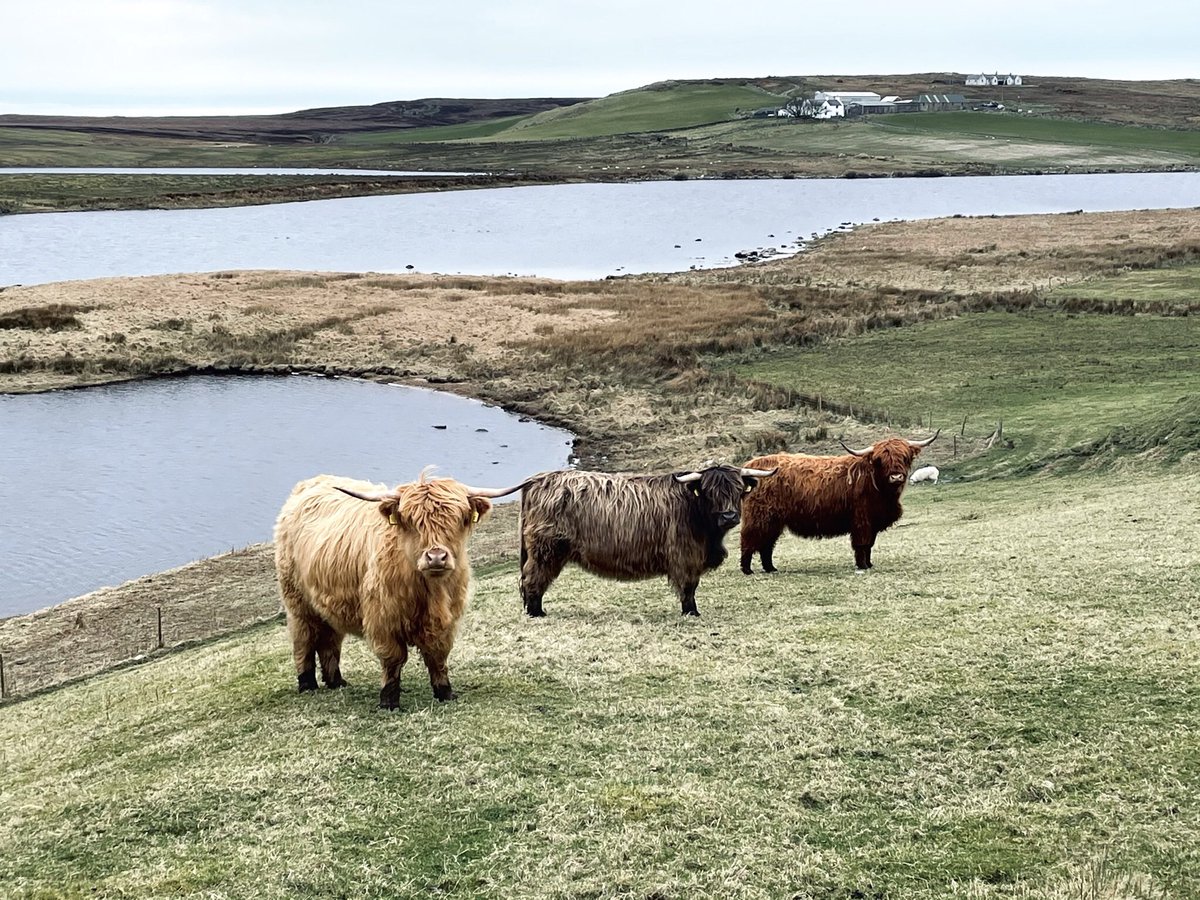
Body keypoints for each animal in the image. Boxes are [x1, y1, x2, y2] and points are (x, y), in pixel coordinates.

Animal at [273, 469, 522, 709]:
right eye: (412, 521)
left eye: (458, 519)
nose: (436, 557)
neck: (431, 592)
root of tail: (308, 485)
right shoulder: (383, 618)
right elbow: (392, 658)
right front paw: (389, 700)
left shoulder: (447, 620)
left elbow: (438, 655)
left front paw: (445, 692)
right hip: (297, 602)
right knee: (303, 639)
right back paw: (307, 684)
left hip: (327, 602)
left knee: (330, 640)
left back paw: (336, 682)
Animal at [517, 464, 776, 618]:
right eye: (710, 492)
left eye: (739, 490)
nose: (729, 516)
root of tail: (538, 480)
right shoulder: (685, 556)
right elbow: (689, 587)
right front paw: (691, 612)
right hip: (546, 549)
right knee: (533, 578)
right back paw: (536, 612)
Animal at [739, 432, 938, 574]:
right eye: (880, 460)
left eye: (905, 456)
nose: (896, 476)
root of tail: (750, 466)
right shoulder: (861, 521)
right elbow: (862, 544)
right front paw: (862, 565)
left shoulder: (872, 522)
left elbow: (870, 544)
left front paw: (869, 564)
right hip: (759, 517)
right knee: (749, 541)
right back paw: (747, 570)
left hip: (773, 521)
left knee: (767, 545)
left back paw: (770, 568)